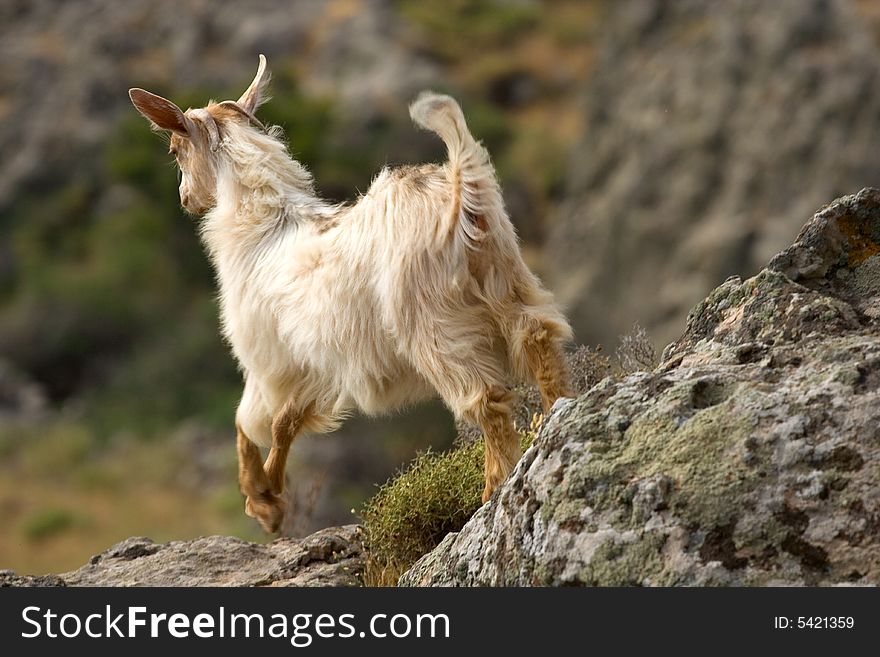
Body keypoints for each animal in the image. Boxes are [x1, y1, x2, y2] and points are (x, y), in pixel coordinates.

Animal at [127, 53, 576, 532]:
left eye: (175, 151)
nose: (185, 199)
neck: (266, 227)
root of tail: (462, 194)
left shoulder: (267, 358)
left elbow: (250, 420)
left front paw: (262, 499)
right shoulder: (315, 366)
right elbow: (286, 421)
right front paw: (270, 497)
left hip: (435, 326)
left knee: (485, 399)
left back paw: (492, 491)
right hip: (509, 286)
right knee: (539, 342)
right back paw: (554, 421)